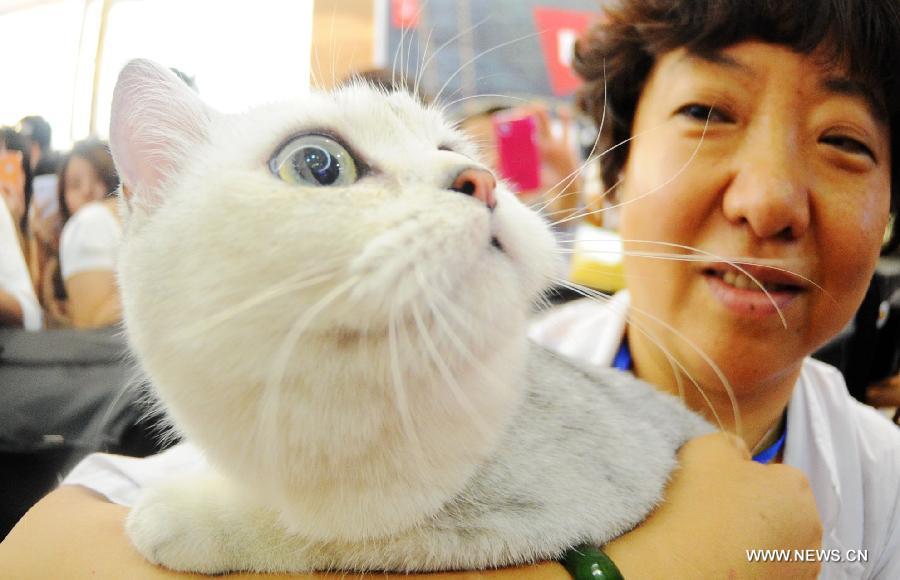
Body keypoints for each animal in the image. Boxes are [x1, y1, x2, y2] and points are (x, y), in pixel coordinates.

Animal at [110, 61, 712, 572]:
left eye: (451, 148)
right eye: (317, 163)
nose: (481, 178)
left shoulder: (584, 489)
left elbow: (354, 532)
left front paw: (191, 513)